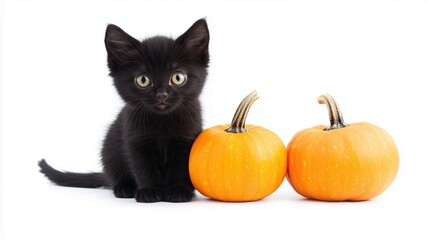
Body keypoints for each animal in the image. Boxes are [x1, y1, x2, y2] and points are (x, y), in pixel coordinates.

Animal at [38, 19, 209, 202]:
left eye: (178, 77)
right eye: (143, 80)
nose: (161, 95)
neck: (162, 121)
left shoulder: (186, 139)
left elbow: (181, 167)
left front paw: (178, 191)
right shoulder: (135, 140)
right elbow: (142, 167)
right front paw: (149, 191)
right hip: (109, 150)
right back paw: (124, 188)